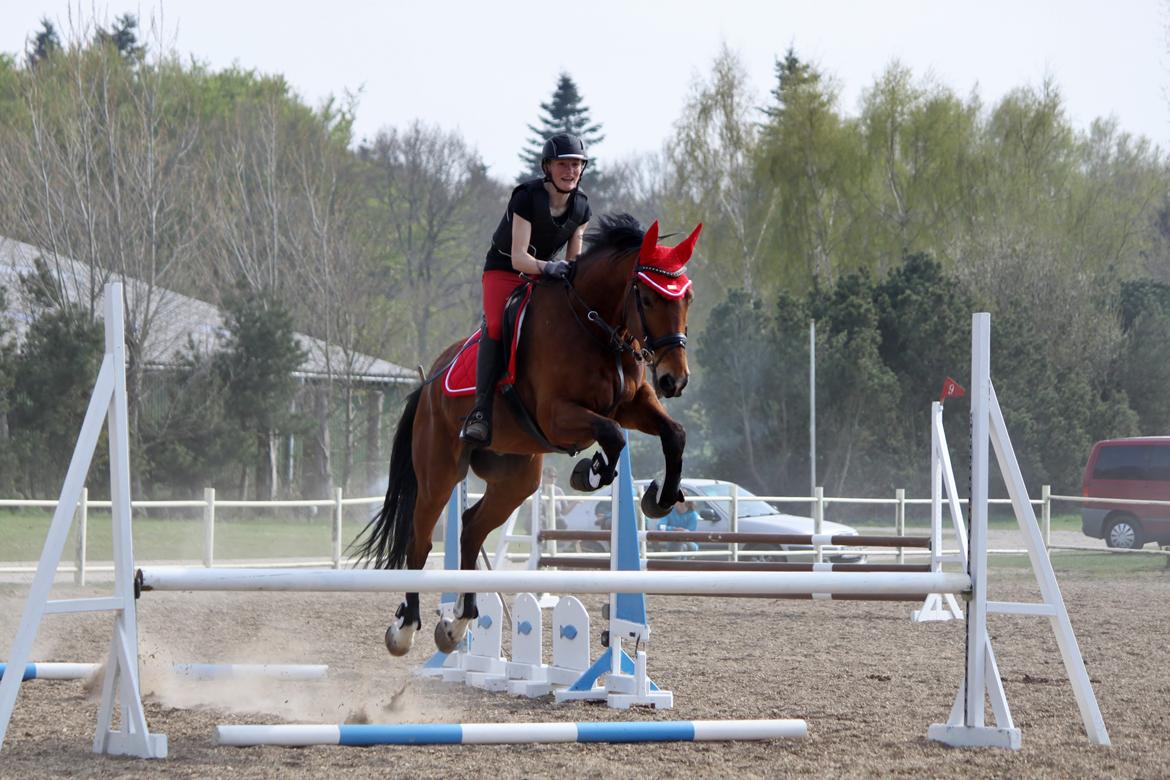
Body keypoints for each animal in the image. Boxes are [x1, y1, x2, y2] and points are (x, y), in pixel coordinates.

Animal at [351, 215, 697, 659]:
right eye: (649, 298)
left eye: (686, 298)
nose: (674, 380)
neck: (593, 324)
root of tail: (426, 386)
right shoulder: (558, 415)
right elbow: (613, 435)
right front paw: (591, 472)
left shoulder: (635, 405)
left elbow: (674, 434)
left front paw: (660, 498)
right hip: (439, 474)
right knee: (421, 541)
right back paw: (406, 629)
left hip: (517, 479)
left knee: (471, 528)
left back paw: (458, 622)